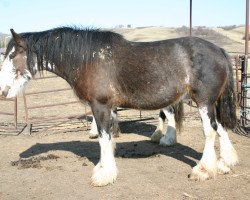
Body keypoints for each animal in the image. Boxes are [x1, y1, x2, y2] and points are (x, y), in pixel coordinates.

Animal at [0, 26, 238, 186]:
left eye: (12, 55)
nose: (3, 91)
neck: (88, 59)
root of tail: (219, 50)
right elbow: (109, 137)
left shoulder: (101, 106)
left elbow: (104, 139)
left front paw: (104, 174)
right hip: (210, 102)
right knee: (220, 127)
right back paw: (225, 163)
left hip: (204, 101)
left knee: (210, 131)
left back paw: (204, 169)